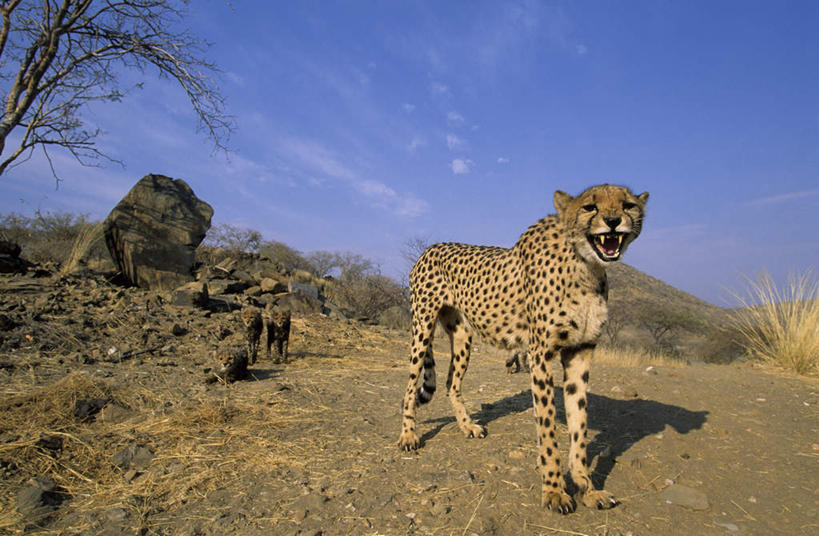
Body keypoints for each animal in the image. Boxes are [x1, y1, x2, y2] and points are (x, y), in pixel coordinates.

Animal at [400, 184, 652, 516]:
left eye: (628, 205)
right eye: (590, 207)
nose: (612, 221)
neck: (586, 267)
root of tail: (431, 248)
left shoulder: (581, 351)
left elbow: (579, 426)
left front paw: (586, 488)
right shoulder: (540, 354)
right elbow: (547, 427)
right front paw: (555, 492)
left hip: (463, 335)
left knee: (451, 384)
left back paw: (467, 426)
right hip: (422, 326)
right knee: (410, 386)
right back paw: (408, 435)